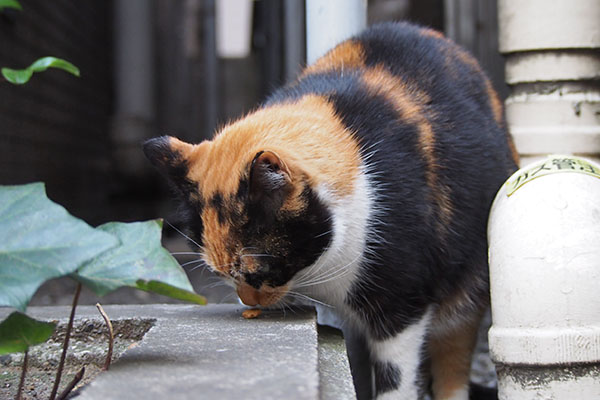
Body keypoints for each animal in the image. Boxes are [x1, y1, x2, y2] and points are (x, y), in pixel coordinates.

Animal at [143, 23, 516, 400]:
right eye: (219, 274)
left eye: (259, 270)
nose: (247, 300)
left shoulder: (402, 304)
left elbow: (396, 375)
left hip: (467, 290)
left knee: (453, 362)